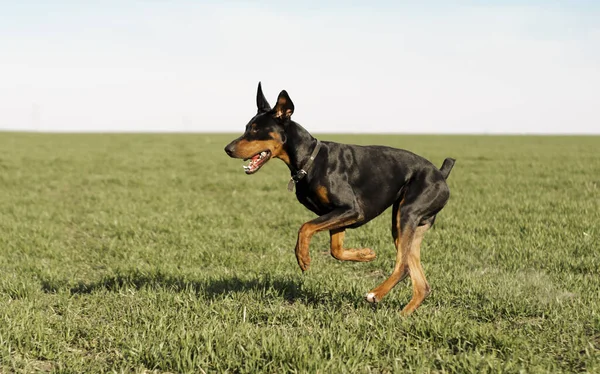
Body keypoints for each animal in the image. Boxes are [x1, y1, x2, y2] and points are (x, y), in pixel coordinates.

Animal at [225, 83, 454, 314]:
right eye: (247, 127)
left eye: (256, 130)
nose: (227, 149)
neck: (310, 160)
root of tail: (440, 174)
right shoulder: (337, 215)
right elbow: (335, 251)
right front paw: (365, 254)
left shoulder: (350, 209)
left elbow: (305, 227)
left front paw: (303, 257)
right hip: (409, 225)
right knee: (419, 280)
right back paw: (402, 315)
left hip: (406, 214)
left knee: (403, 265)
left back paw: (375, 294)